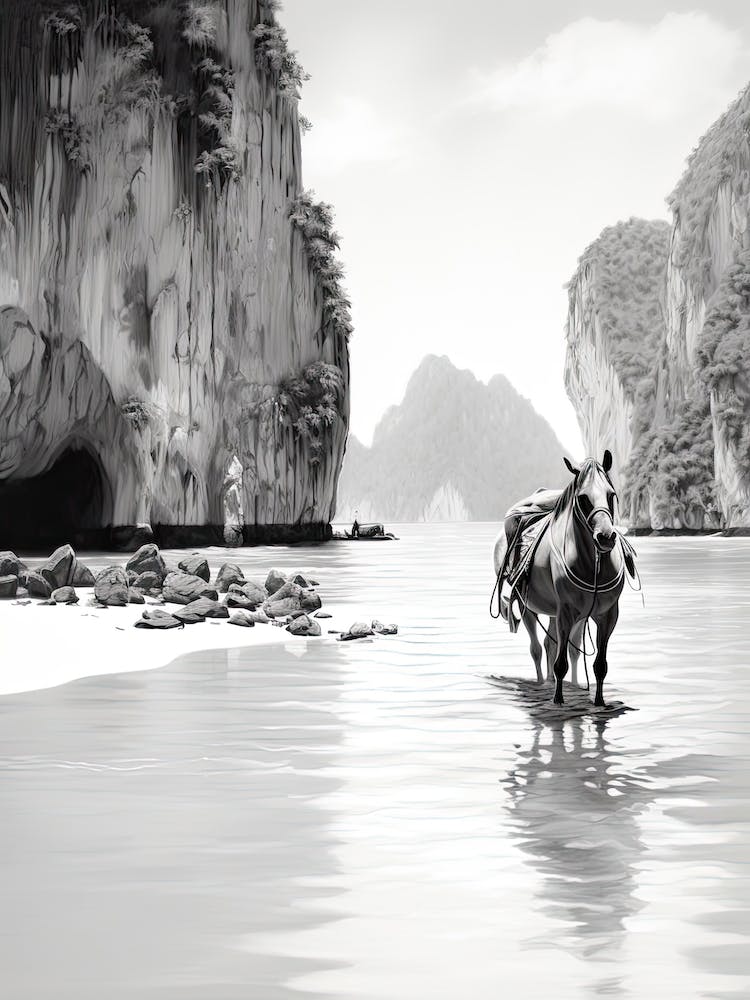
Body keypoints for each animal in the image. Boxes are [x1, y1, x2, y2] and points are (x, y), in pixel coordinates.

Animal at [493, 450, 625, 707]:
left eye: (611, 495)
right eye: (583, 498)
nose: (606, 537)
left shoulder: (606, 615)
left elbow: (599, 665)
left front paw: (599, 701)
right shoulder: (565, 613)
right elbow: (560, 663)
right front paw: (557, 700)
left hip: (557, 612)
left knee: (553, 646)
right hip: (529, 607)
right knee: (537, 648)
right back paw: (543, 684)